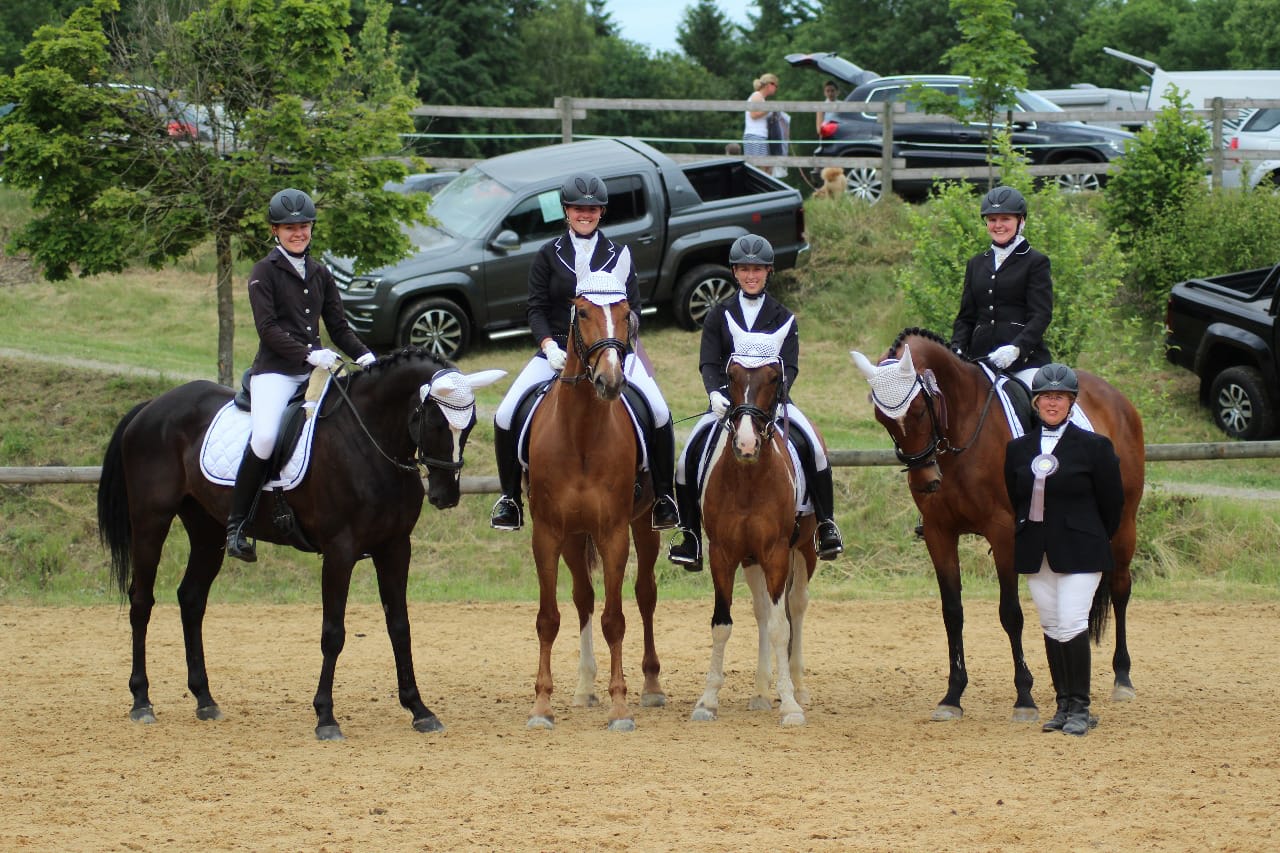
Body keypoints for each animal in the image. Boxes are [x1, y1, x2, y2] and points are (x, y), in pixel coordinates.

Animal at [97, 345, 504, 737]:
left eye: (468, 425)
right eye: (434, 421)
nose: (445, 496)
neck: (367, 442)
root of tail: (152, 406)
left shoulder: (395, 547)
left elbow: (400, 626)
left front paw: (419, 709)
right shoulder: (339, 551)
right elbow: (333, 633)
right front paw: (325, 717)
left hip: (206, 529)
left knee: (192, 599)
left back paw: (205, 699)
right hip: (151, 520)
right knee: (141, 600)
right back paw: (141, 701)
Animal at [522, 268, 665, 727]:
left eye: (624, 312)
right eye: (582, 312)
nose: (610, 380)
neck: (582, 432)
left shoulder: (614, 532)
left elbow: (615, 619)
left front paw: (620, 706)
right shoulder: (548, 533)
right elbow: (549, 618)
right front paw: (541, 705)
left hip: (644, 524)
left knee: (645, 594)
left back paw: (651, 686)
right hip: (572, 536)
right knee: (583, 596)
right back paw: (585, 687)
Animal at [691, 317, 819, 722]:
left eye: (774, 378)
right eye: (730, 376)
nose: (746, 445)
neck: (748, 479)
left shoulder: (777, 552)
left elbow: (781, 627)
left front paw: (790, 705)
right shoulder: (723, 553)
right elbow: (723, 625)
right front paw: (707, 700)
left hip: (804, 550)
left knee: (796, 605)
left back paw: (798, 687)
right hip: (750, 559)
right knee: (763, 610)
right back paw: (762, 691)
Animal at [855, 327, 1146, 722]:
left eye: (918, 410)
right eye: (881, 418)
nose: (926, 482)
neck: (962, 432)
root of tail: (1116, 397)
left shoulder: (1003, 531)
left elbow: (1011, 613)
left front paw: (1024, 697)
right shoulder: (938, 533)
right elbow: (952, 613)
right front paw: (952, 696)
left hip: (1123, 524)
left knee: (1120, 589)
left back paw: (1122, 678)